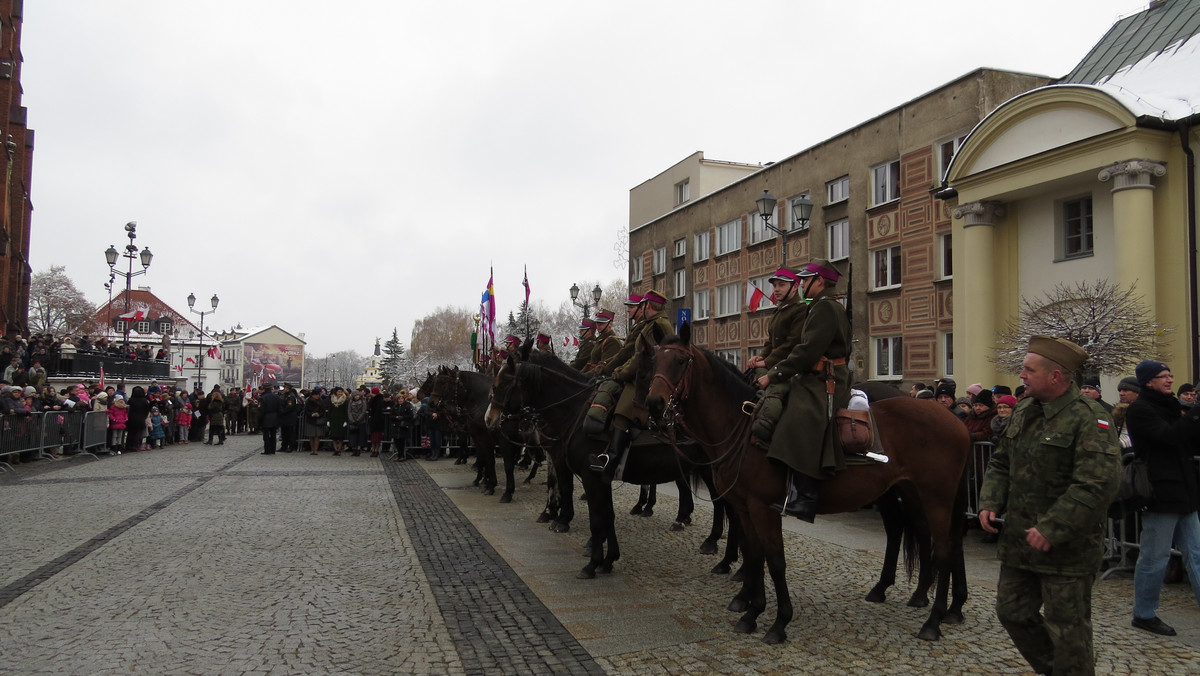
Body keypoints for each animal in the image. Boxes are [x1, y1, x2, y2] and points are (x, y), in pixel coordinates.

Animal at [643, 324, 969, 648]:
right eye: (654, 361)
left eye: (680, 361)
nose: (654, 404)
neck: (741, 428)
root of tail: (953, 419)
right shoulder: (745, 507)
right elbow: (755, 554)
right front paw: (751, 611)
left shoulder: (763, 508)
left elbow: (775, 561)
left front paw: (778, 622)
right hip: (908, 491)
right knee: (928, 537)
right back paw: (937, 603)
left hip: (936, 497)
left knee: (942, 549)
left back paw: (933, 620)